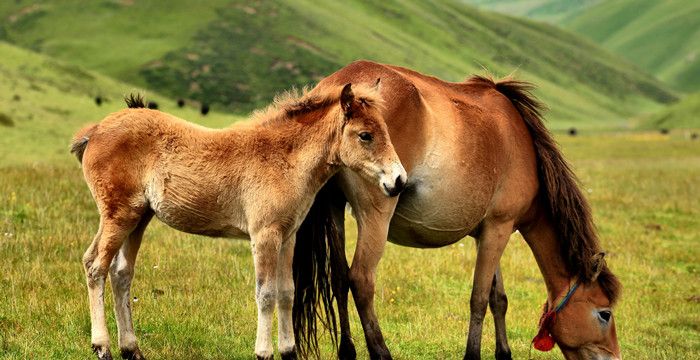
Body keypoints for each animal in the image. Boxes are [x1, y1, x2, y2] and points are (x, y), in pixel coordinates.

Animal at [68, 83, 408, 358]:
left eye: (386, 132)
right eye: (365, 135)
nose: (399, 181)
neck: (283, 159)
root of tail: (94, 131)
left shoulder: (288, 236)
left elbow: (287, 292)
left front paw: (288, 352)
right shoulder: (265, 235)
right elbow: (266, 294)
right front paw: (264, 353)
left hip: (139, 217)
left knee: (121, 273)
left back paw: (132, 350)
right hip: (119, 214)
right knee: (95, 265)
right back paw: (102, 348)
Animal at [292, 61, 620, 360]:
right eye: (604, 313)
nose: (615, 358)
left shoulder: (488, 232)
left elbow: (498, 298)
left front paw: (504, 353)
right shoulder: (499, 228)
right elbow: (479, 298)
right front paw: (473, 354)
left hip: (335, 209)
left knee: (339, 280)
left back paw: (347, 351)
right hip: (376, 215)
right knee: (360, 279)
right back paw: (381, 352)